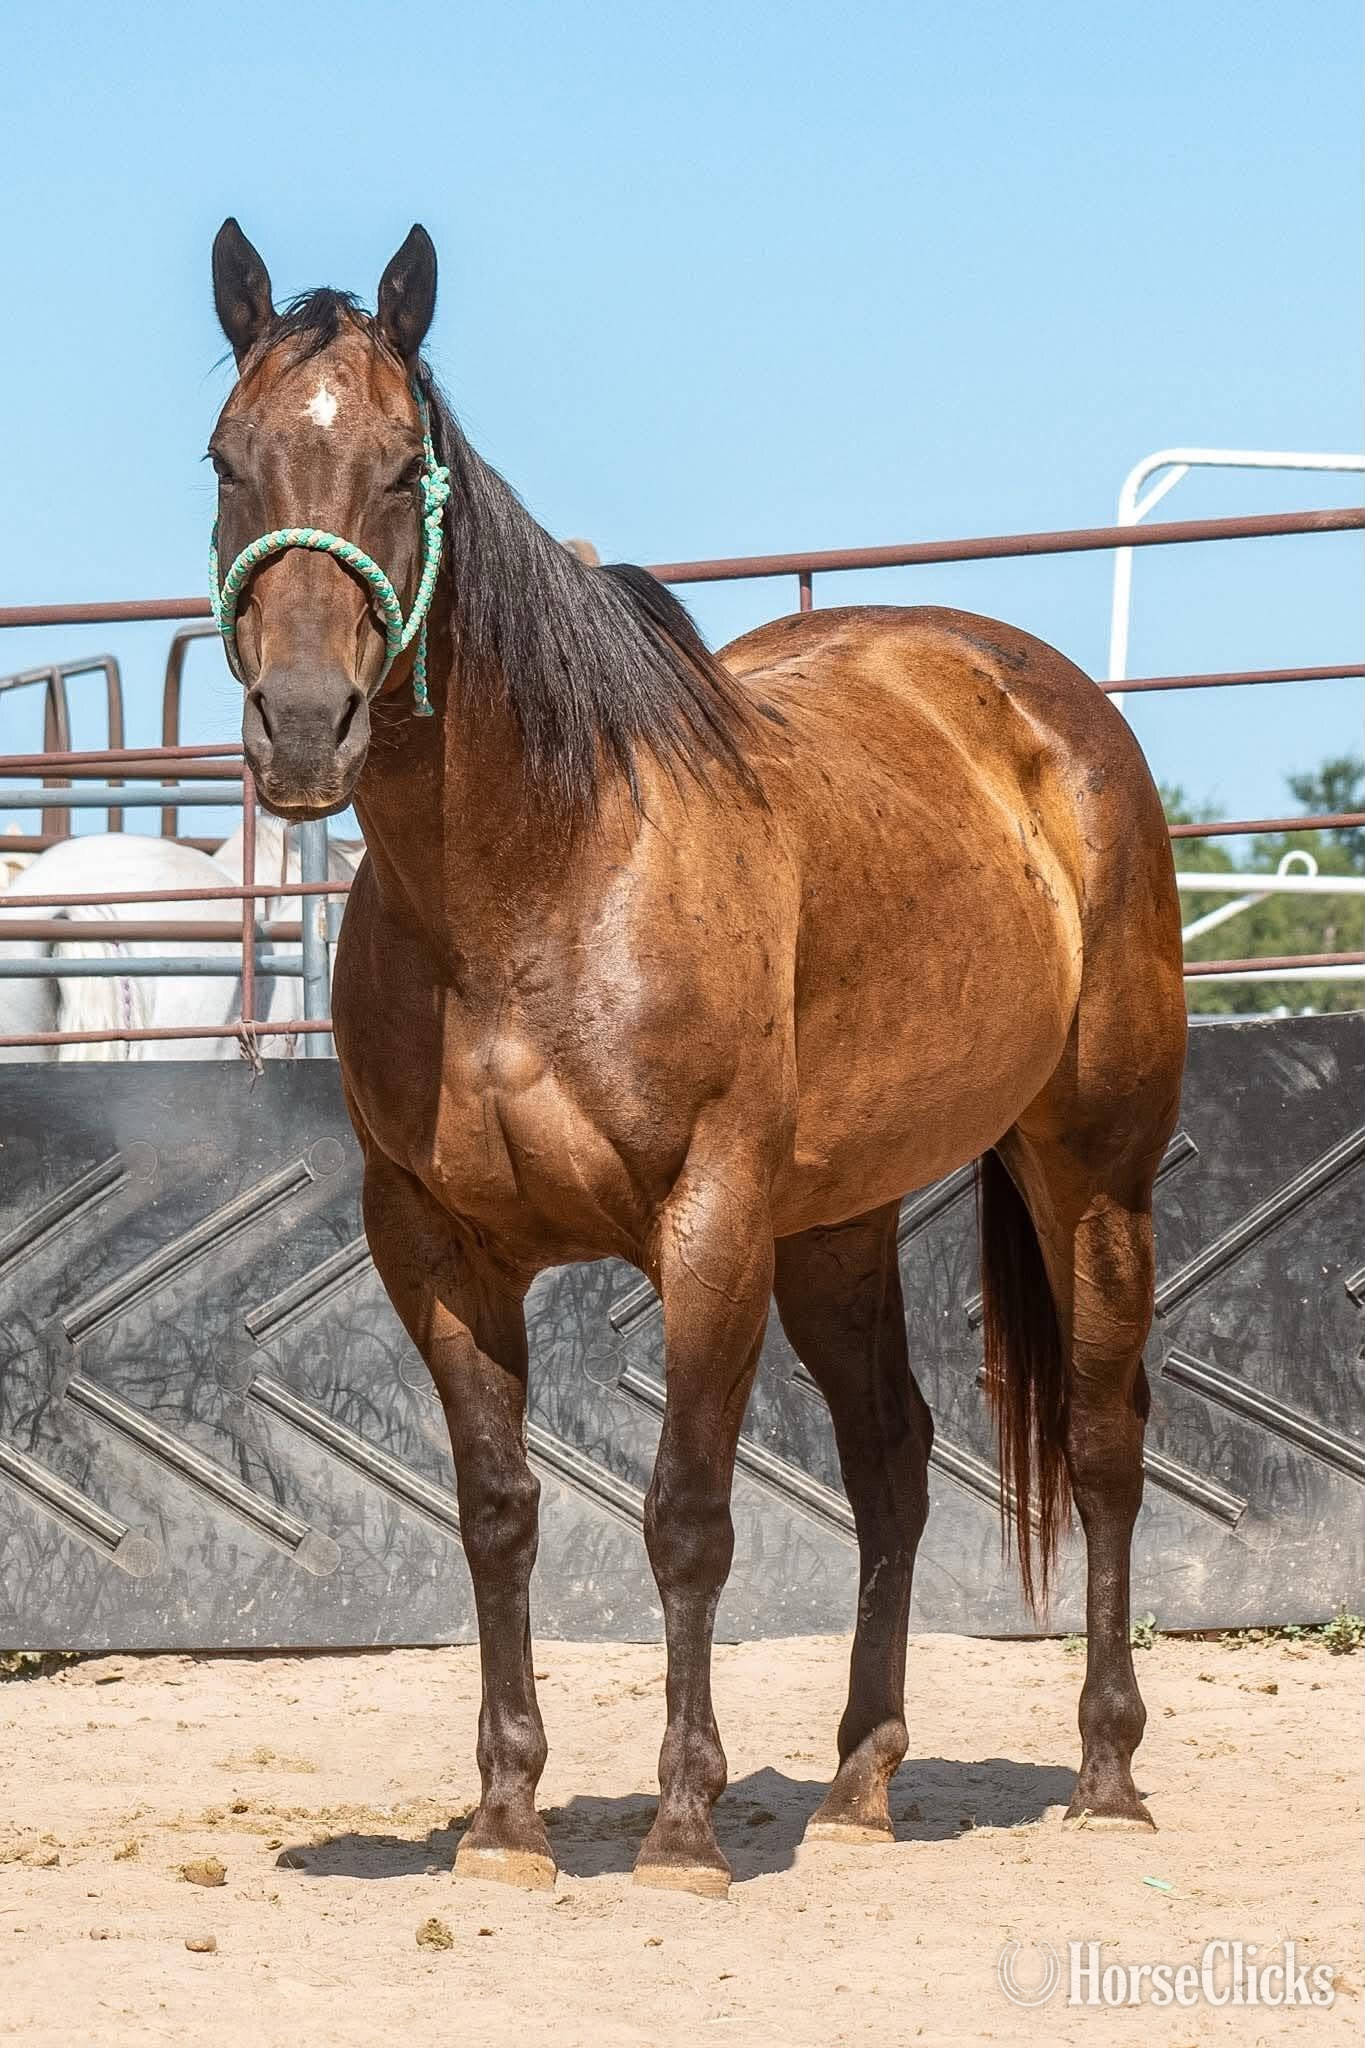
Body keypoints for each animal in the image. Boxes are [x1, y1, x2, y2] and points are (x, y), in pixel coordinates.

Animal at [207, 219, 1187, 1899]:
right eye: (225, 462)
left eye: (403, 471)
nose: (304, 726)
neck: (537, 880)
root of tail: (1044, 706)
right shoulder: (432, 1246)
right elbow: (497, 1513)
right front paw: (505, 1822)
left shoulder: (709, 1222)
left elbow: (685, 1517)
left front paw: (679, 1827)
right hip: (838, 1227)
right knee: (893, 1461)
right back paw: (859, 1784)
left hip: (1091, 1180)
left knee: (1107, 1445)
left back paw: (1108, 1776)